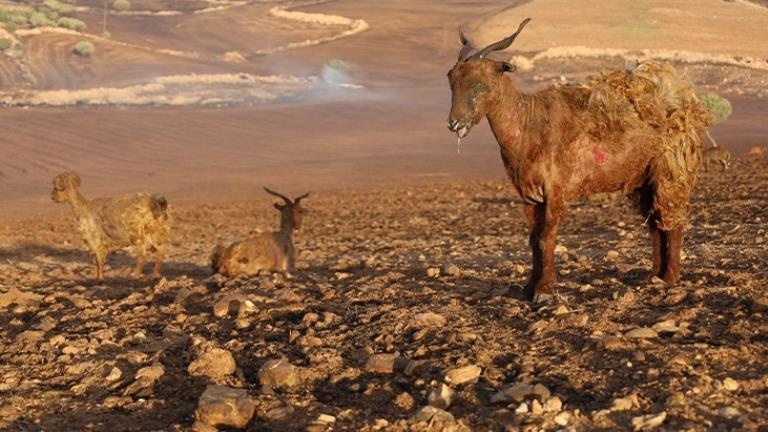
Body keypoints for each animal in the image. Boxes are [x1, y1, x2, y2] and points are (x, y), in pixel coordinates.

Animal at [448, 18, 712, 302]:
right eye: (451, 79)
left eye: (479, 84)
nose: (454, 123)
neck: (529, 124)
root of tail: (685, 109)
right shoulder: (529, 195)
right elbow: (533, 241)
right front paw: (528, 288)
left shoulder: (556, 190)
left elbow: (546, 238)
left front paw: (544, 291)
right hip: (644, 181)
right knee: (655, 225)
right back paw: (654, 276)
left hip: (671, 175)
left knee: (673, 223)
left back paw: (671, 278)